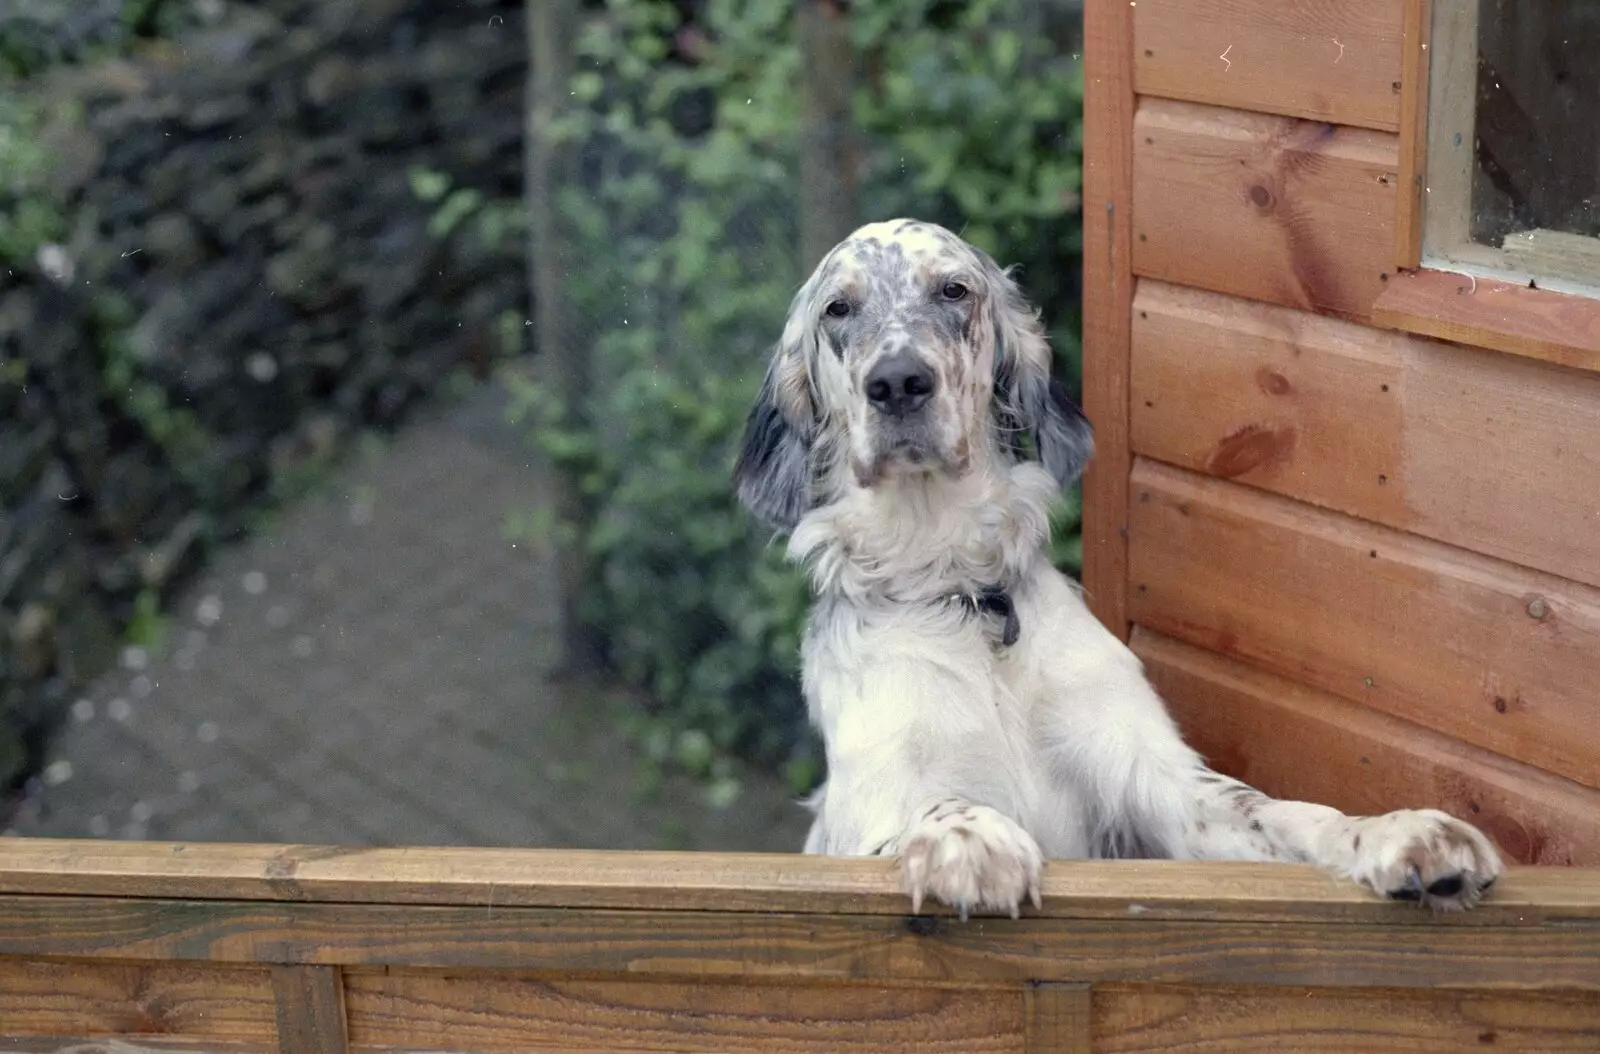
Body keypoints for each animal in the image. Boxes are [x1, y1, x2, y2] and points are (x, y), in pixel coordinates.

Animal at [732, 215, 1504, 914]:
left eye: (953, 289)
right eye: (838, 308)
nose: (898, 383)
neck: (964, 596)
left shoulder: (1156, 786)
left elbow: (1275, 809)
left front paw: (1399, 832)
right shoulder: (871, 808)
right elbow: (931, 808)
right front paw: (968, 840)